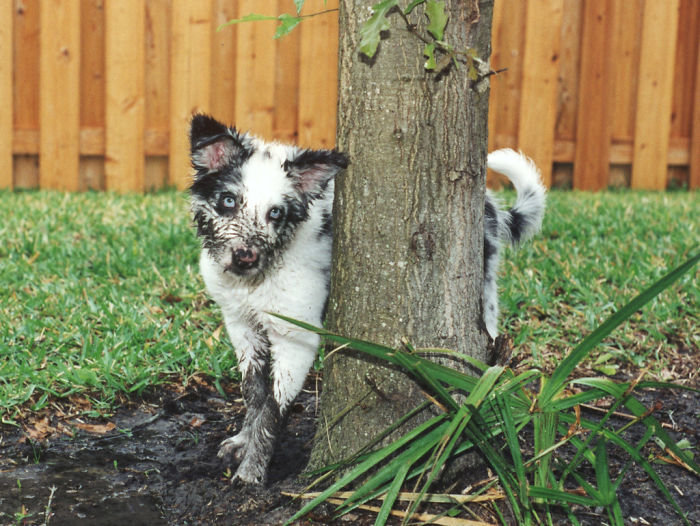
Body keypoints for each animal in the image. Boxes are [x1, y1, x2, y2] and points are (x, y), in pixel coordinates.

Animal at [187, 114, 548, 486]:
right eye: (228, 201)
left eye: (276, 214)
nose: (244, 257)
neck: (256, 279)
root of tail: (489, 206)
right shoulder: (240, 323)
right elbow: (254, 392)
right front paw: (243, 442)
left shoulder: (296, 338)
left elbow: (273, 409)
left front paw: (252, 471)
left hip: (485, 299)